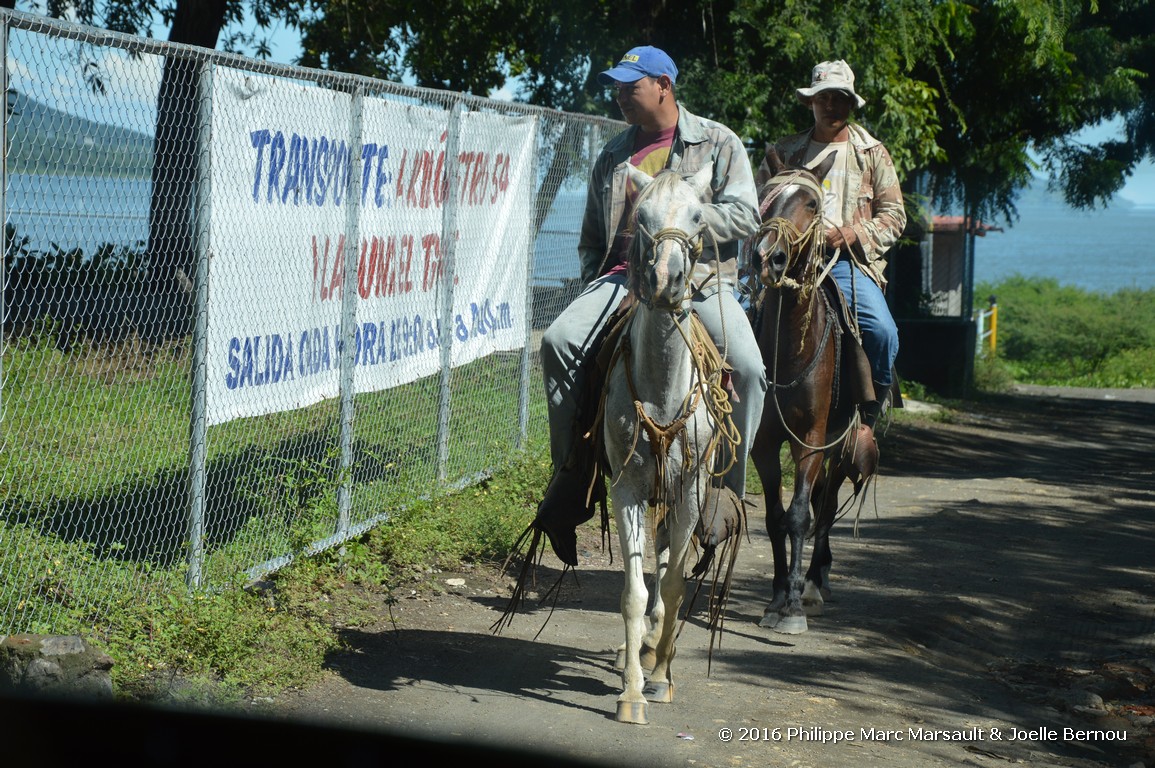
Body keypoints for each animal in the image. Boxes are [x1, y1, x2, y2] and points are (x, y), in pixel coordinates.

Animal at [743, 147, 877, 632]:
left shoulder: (812, 439)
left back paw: (816, 583)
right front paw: (776, 596)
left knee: (826, 505)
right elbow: (775, 517)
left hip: (840, 444)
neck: (790, 350)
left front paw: (794, 607)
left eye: (813, 204)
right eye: (764, 199)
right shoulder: (764, 442)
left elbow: (800, 514)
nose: (769, 257)